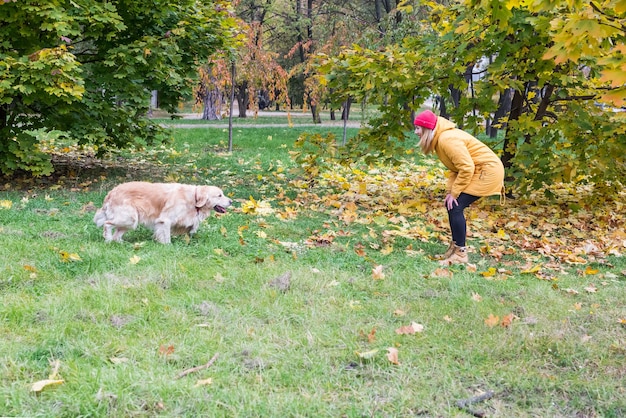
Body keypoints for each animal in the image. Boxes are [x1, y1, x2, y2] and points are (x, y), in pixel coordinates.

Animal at [96, 181, 233, 243]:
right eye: (219, 195)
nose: (231, 201)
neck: (193, 199)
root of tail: (111, 192)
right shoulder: (165, 220)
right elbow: (166, 236)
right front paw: (167, 246)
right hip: (129, 218)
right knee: (107, 224)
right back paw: (108, 239)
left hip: (131, 222)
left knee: (117, 234)